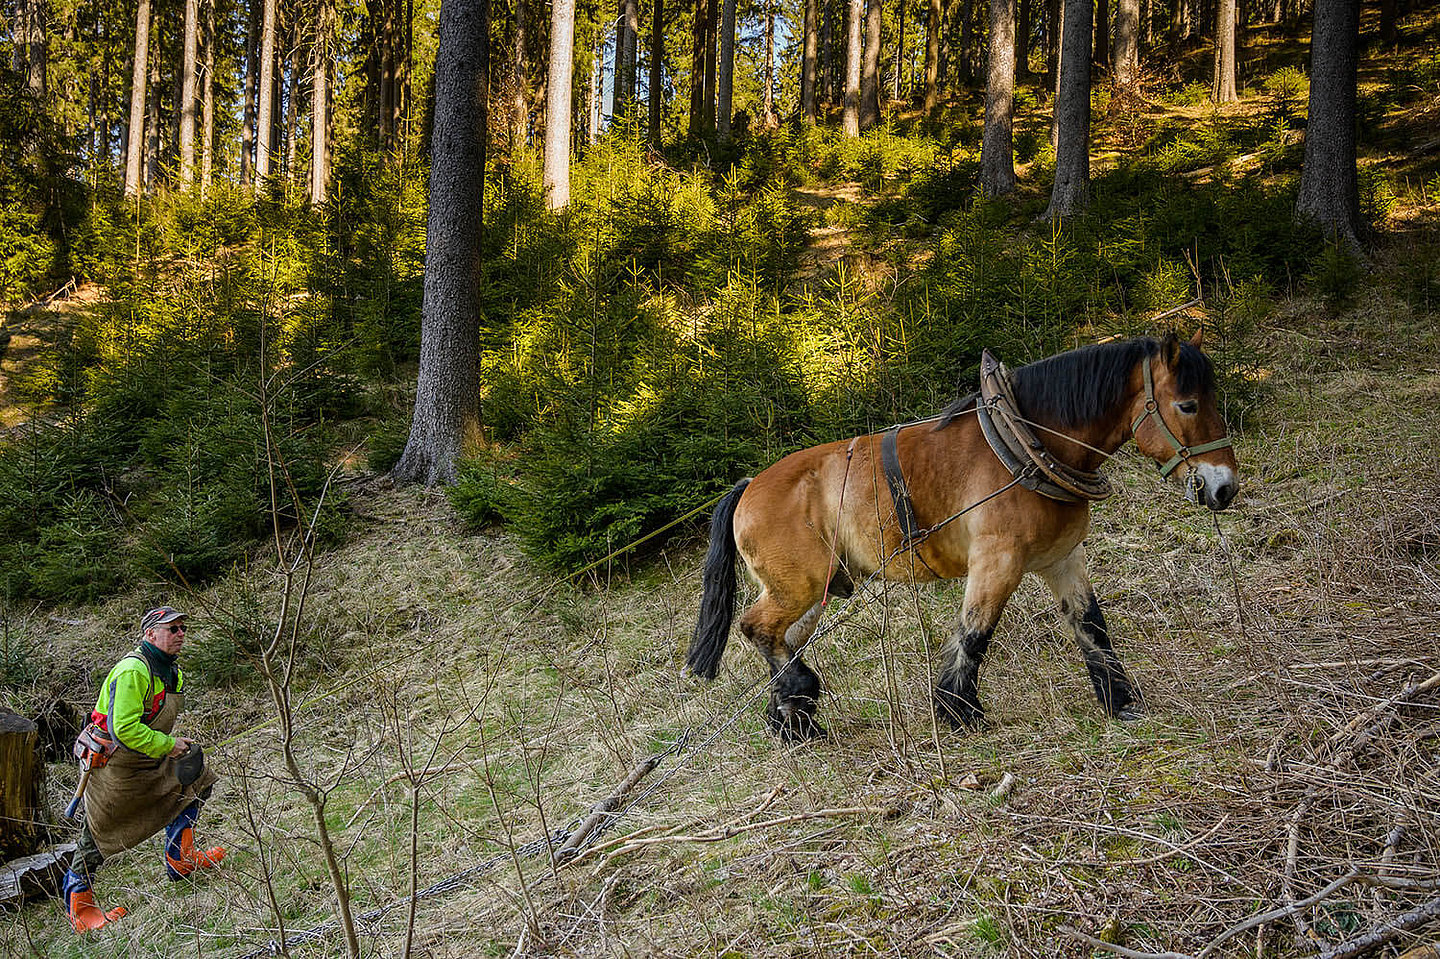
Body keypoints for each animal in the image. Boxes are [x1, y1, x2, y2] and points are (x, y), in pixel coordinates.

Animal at [685, 331, 1238, 737]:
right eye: (1187, 405)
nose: (1224, 487)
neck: (1024, 444)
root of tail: (748, 487)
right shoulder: (997, 560)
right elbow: (975, 633)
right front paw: (959, 711)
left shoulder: (1062, 558)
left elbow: (1091, 624)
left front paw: (1120, 700)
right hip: (796, 586)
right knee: (757, 629)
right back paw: (798, 699)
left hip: (814, 590)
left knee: (783, 639)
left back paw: (792, 718)